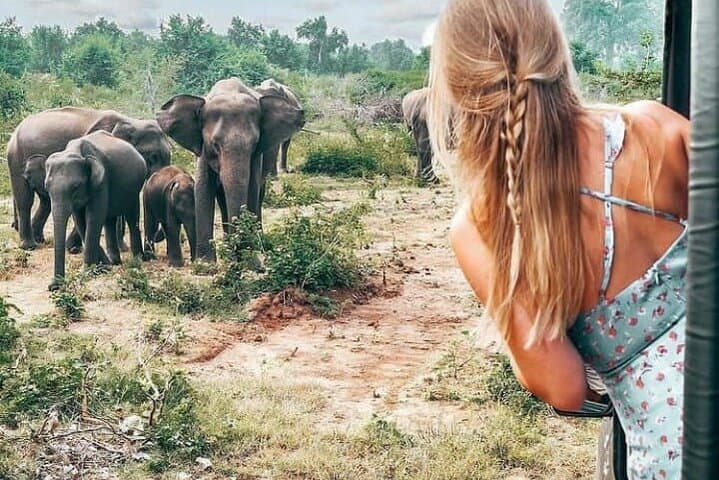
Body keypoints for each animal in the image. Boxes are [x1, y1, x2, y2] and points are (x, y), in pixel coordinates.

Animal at [6, 107, 172, 251]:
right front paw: (73, 248)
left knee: (45, 201)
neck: (131, 122)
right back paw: (29, 245)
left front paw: (122, 248)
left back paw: (39, 239)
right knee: (25, 199)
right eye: (153, 157)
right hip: (16, 158)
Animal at [45, 131, 147, 291]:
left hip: (135, 187)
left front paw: (88, 273)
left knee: (132, 216)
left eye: (75, 187)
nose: (53, 286)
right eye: (46, 187)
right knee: (109, 220)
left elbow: (93, 217)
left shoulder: (101, 182)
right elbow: (80, 220)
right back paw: (115, 261)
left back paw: (138, 259)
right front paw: (104, 268)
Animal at [157, 77, 305, 262]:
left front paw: (249, 256)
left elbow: (251, 189)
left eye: (254, 144)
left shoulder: (256, 156)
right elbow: (204, 189)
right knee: (223, 199)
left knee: (259, 194)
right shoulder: (203, 150)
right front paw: (205, 263)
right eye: (215, 145)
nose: (239, 253)